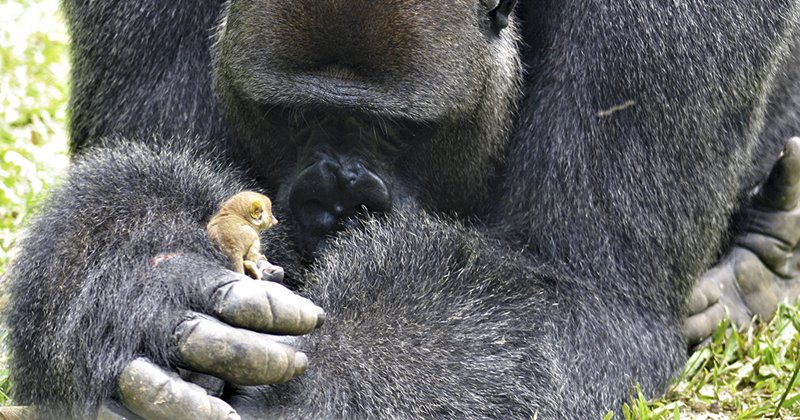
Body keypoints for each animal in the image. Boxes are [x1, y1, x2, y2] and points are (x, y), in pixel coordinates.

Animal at [4, 0, 800, 418]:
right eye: (292, 114)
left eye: (400, 130)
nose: (336, 204)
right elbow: (146, 162)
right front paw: (140, 276)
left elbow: (582, 291)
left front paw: (317, 384)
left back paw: (758, 265)